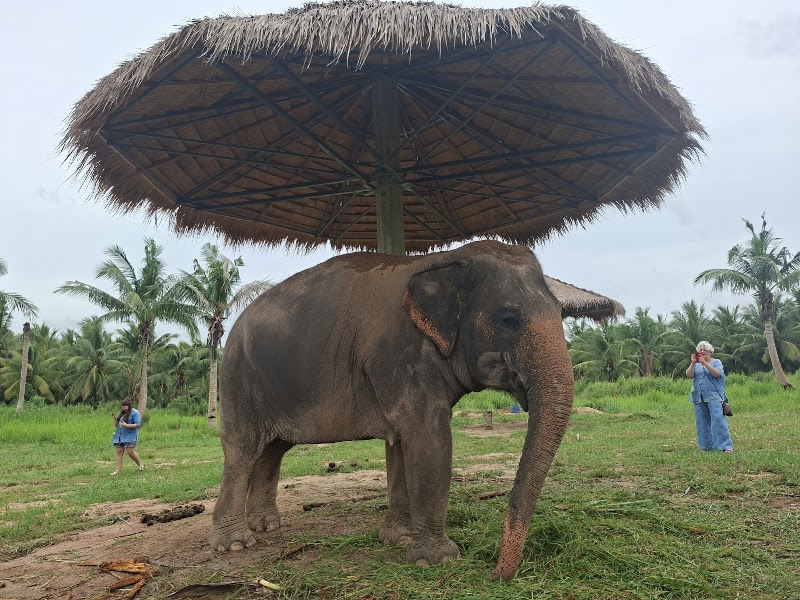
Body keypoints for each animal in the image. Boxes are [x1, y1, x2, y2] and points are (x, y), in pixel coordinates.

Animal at [210, 240, 575, 580]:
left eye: (561, 313)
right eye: (509, 320)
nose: (496, 573)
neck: (443, 259)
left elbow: (403, 442)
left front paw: (397, 538)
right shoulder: (399, 356)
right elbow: (430, 439)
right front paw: (437, 559)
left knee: (272, 450)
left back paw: (267, 526)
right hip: (237, 382)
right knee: (242, 451)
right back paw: (236, 543)